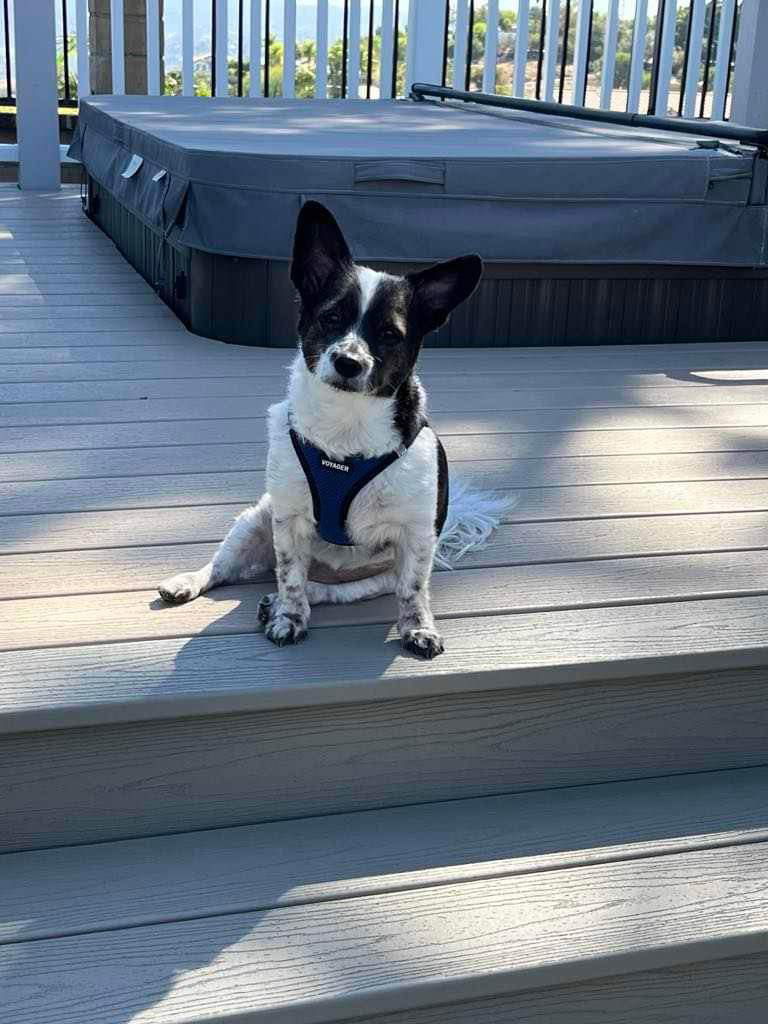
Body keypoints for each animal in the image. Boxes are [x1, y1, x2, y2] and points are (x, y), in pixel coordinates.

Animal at [159, 201, 507, 655]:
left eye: (390, 334)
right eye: (330, 318)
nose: (348, 361)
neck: (347, 423)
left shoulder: (415, 536)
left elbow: (413, 591)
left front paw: (418, 628)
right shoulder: (288, 522)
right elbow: (290, 576)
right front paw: (289, 619)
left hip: (374, 578)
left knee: (328, 590)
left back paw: (282, 599)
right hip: (254, 521)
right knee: (231, 568)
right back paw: (193, 582)